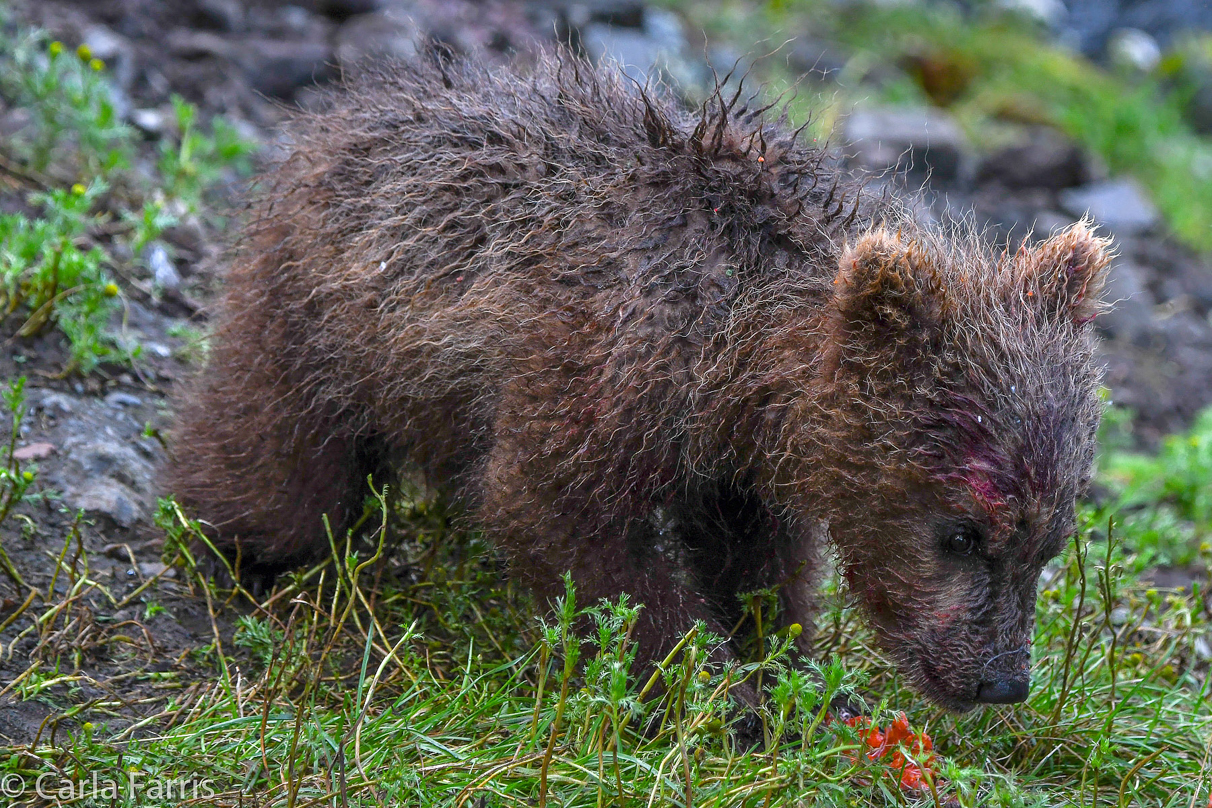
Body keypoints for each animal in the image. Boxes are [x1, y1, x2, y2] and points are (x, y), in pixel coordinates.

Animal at [168, 47, 1110, 712]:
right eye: (962, 532)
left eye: (1049, 542)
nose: (1001, 683)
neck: (739, 349)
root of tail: (349, 107)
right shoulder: (602, 360)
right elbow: (562, 520)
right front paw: (710, 690)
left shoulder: (738, 458)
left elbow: (757, 558)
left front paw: (794, 669)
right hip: (315, 306)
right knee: (282, 462)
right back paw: (237, 539)